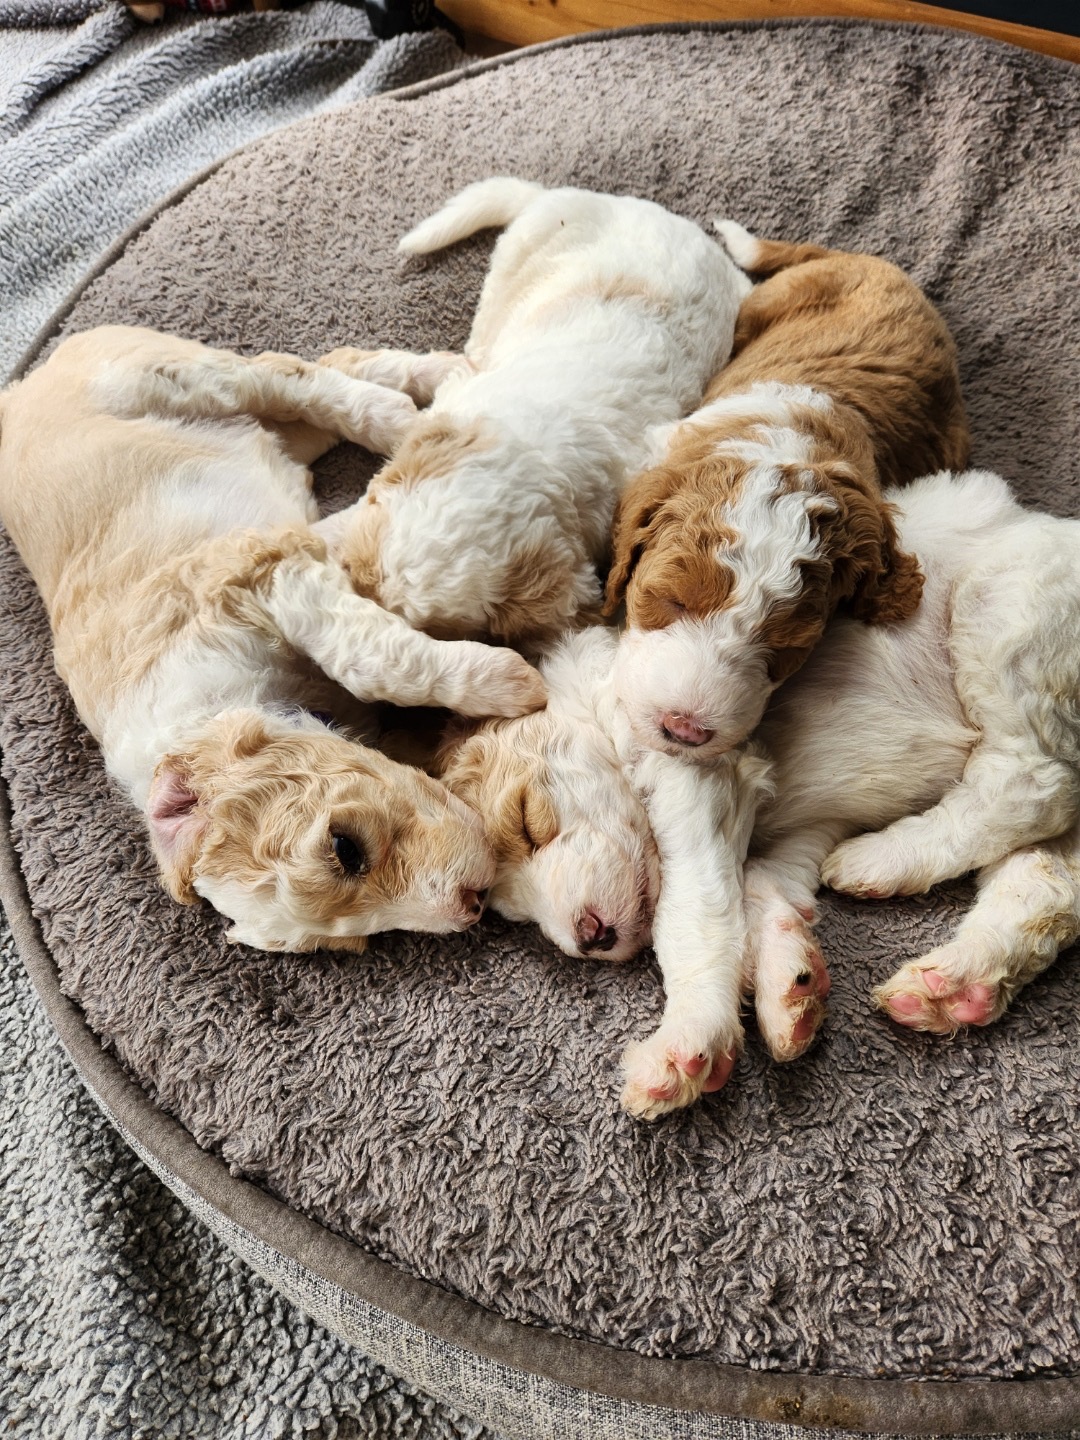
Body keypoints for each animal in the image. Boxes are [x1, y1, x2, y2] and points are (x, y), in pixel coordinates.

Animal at [0, 328, 544, 956]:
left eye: (345, 848)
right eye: (352, 942)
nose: (473, 905)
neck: (214, 709)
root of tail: (23, 383)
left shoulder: (259, 574)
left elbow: (370, 656)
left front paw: (514, 684)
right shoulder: (283, 552)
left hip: (158, 375)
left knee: (289, 375)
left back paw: (405, 414)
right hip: (254, 429)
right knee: (316, 375)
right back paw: (439, 378)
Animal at [434, 472, 1080, 1111]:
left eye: (528, 823)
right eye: (511, 912)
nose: (589, 939)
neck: (593, 699)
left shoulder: (696, 772)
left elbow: (691, 916)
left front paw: (691, 1038)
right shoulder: (796, 829)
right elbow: (762, 889)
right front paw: (791, 987)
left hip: (1008, 617)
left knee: (1032, 781)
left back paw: (882, 858)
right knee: (1045, 880)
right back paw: (954, 983)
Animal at [610, 220, 973, 760]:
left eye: (784, 649)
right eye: (671, 600)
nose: (685, 729)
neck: (793, 448)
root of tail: (875, 262)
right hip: (765, 305)